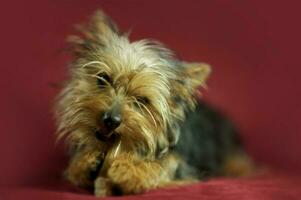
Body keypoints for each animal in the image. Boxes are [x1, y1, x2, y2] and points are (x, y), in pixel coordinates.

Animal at [54, 10, 253, 196]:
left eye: (142, 100)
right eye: (103, 79)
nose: (110, 120)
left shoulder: (182, 164)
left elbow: (164, 164)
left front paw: (131, 170)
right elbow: (74, 171)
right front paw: (83, 161)